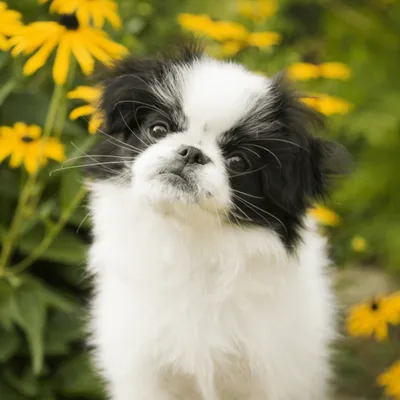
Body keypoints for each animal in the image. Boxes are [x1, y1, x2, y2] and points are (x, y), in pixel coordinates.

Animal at [86, 44, 346, 400]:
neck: (189, 240)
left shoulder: (276, 373)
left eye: (238, 161)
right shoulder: (144, 371)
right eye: (158, 130)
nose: (191, 153)